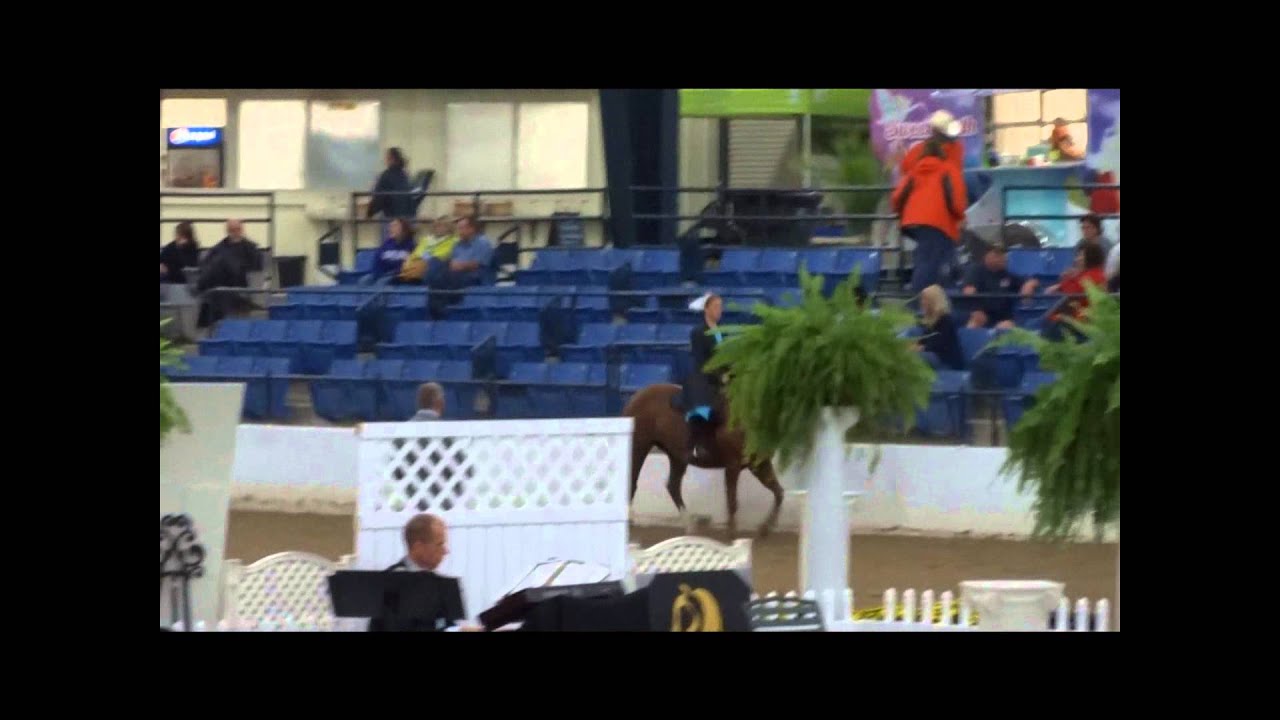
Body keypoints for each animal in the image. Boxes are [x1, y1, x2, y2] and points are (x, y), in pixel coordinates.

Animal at [623, 383, 784, 537]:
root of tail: (637, 396)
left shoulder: (760, 465)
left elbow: (778, 492)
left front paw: (764, 529)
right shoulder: (733, 466)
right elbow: (732, 502)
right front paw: (731, 534)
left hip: (677, 456)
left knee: (673, 486)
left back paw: (690, 527)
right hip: (639, 447)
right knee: (632, 482)